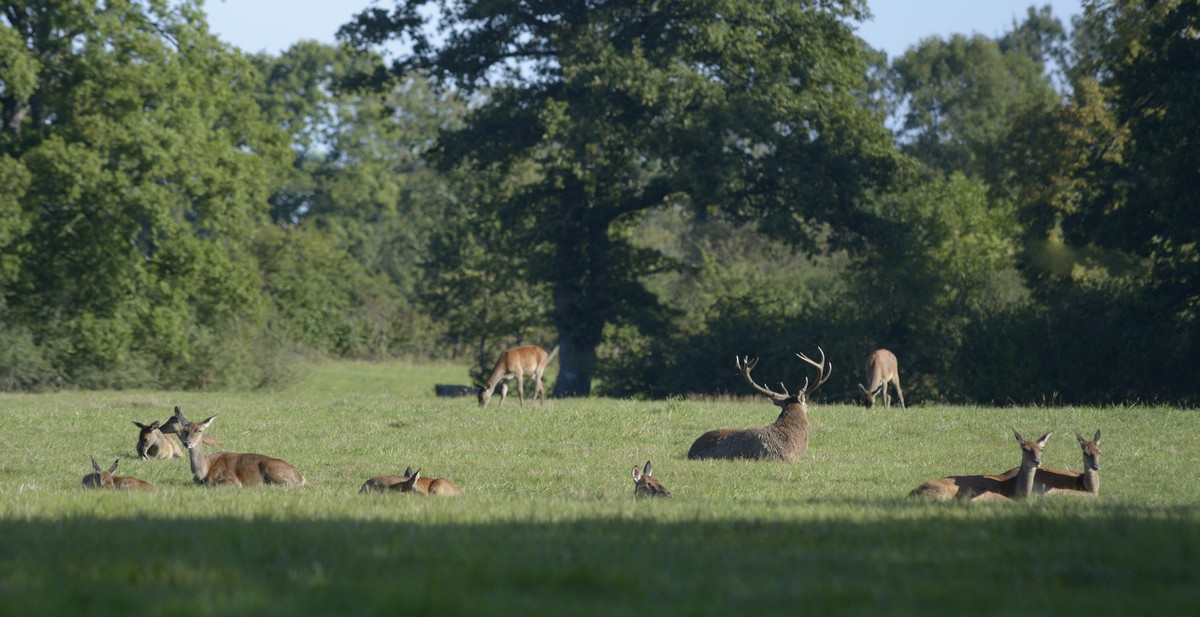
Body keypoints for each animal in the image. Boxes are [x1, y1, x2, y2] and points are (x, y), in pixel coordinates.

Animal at [172, 405, 304, 487]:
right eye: (185, 430)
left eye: (199, 430)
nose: (187, 442)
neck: (203, 472)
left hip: (273, 469)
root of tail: (301, 477)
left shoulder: (230, 481)